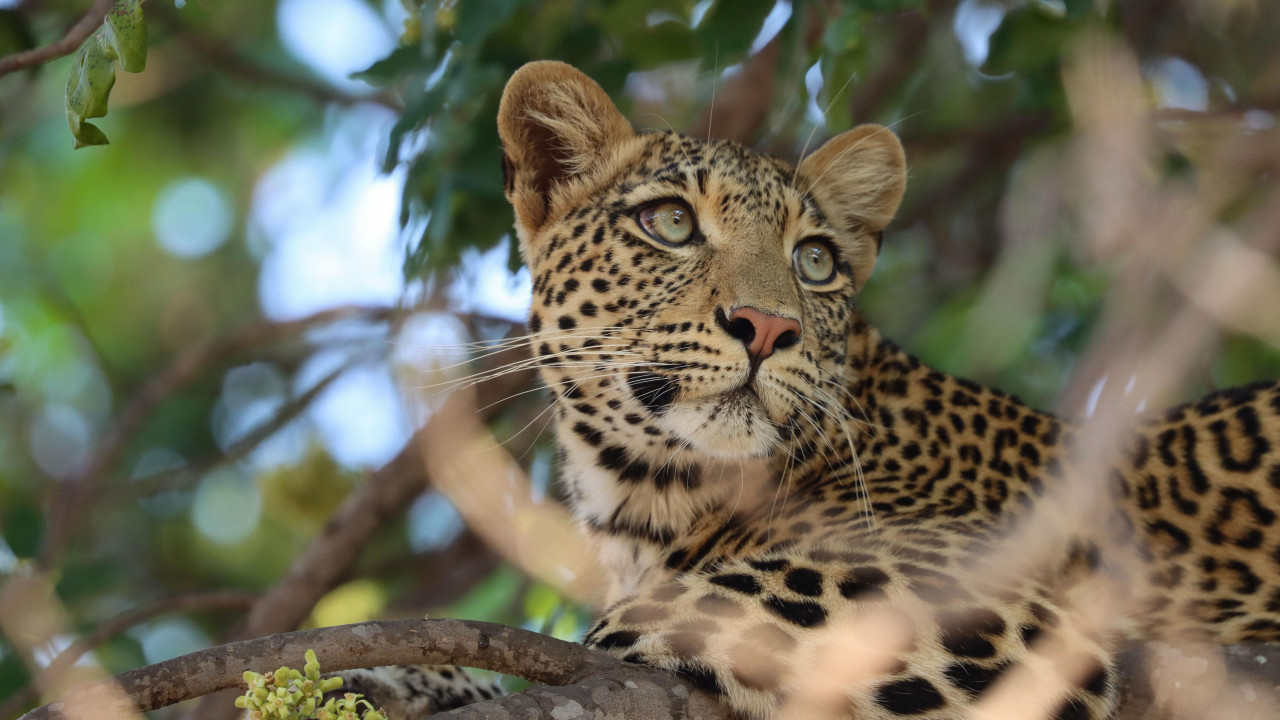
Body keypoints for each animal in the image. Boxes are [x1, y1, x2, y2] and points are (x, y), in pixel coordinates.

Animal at [348, 61, 1280, 720]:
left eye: (816, 261)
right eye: (670, 222)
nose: (766, 327)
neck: (650, 497)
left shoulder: (989, 597)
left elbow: (658, 618)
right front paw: (411, 680)